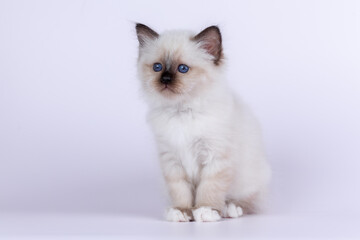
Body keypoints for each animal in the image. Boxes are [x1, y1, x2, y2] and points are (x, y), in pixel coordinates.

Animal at [136, 23, 272, 222]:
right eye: (157, 67)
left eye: (183, 69)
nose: (165, 79)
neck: (182, 112)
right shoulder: (172, 161)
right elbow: (180, 191)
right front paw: (182, 211)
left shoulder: (215, 157)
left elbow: (209, 188)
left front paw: (205, 210)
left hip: (251, 179)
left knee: (251, 202)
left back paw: (230, 208)